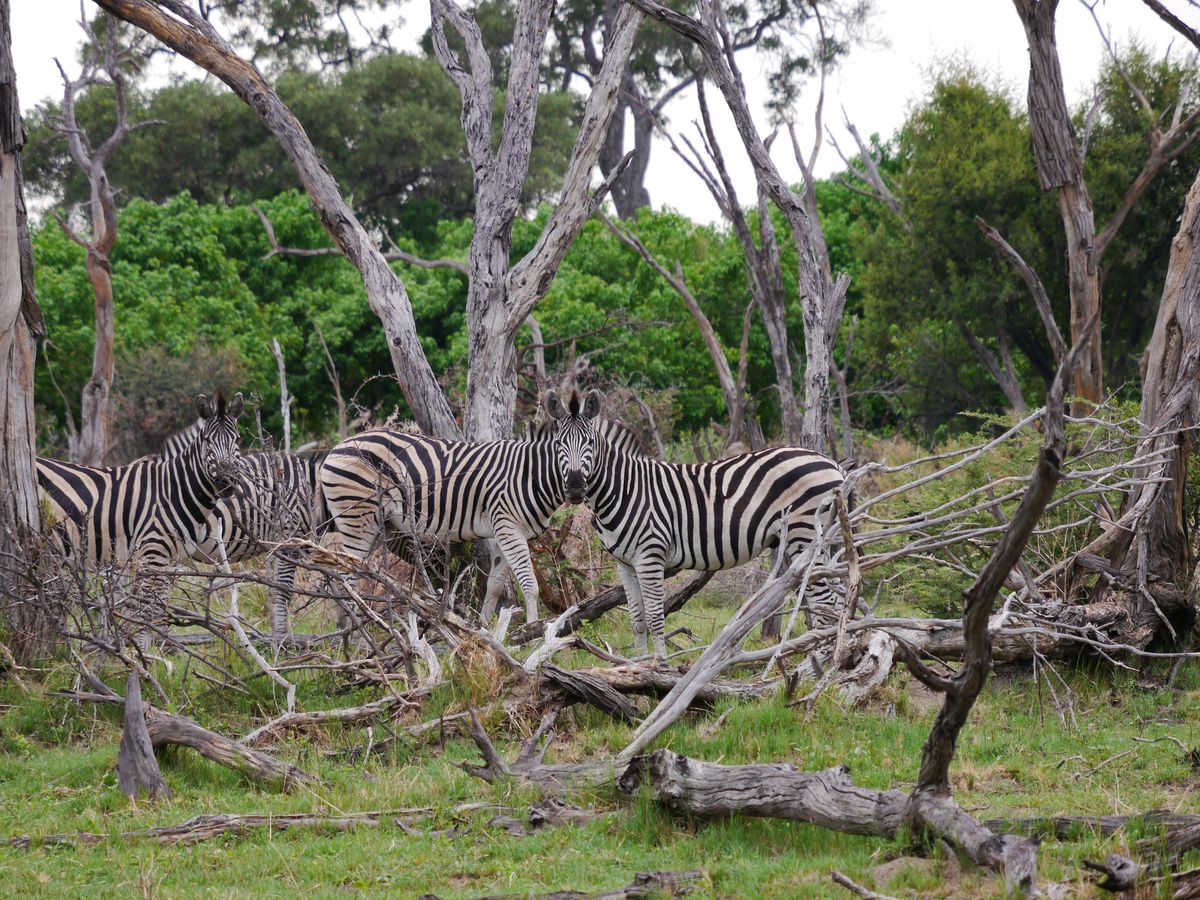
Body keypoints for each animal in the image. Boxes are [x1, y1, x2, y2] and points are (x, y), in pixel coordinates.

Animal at [37, 392, 246, 641]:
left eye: (238, 440)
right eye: (207, 441)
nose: (227, 482)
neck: (172, 491)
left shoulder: (168, 558)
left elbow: (156, 608)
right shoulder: (152, 553)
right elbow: (148, 610)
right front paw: (140, 647)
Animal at [317, 414, 638, 624]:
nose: (575, 489)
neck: (531, 474)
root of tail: (336, 448)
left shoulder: (506, 532)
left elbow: (495, 586)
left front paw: (487, 633)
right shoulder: (508, 528)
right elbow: (527, 583)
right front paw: (534, 631)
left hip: (374, 525)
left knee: (346, 577)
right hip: (358, 519)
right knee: (347, 581)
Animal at [545, 388, 845, 659]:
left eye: (590, 443)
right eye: (558, 445)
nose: (574, 487)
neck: (625, 489)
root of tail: (831, 462)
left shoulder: (650, 555)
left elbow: (655, 617)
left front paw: (659, 666)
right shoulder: (625, 563)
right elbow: (637, 619)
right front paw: (635, 666)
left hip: (805, 535)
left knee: (825, 601)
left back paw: (821, 663)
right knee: (838, 594)